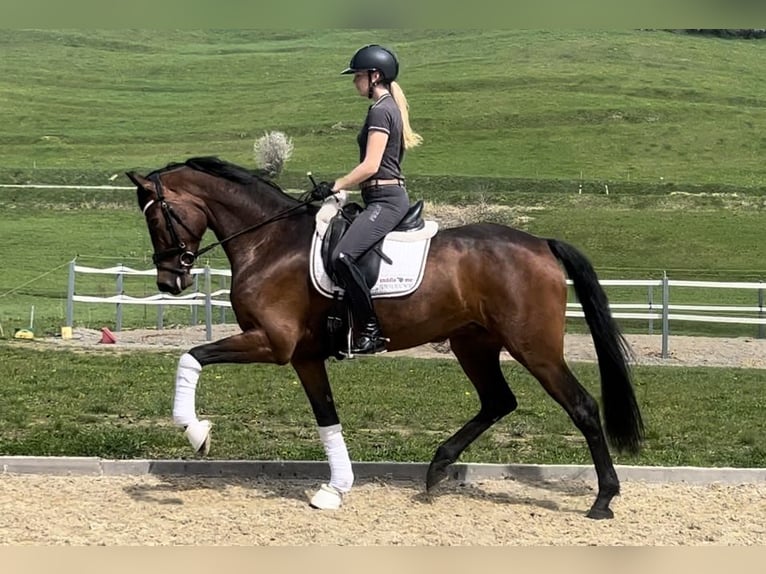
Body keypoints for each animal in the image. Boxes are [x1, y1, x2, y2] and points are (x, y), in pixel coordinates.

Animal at [129, 155, 644, 520]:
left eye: (157, 218)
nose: (168, 282)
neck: (270, 242)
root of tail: (540, 244)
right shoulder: (304, 356)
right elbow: (327, 418)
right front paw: (335, 489)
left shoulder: (272, 343)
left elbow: (191, 356)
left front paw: (196, 433)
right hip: (473, 343)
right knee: (498, 401)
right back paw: (437, 469)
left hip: (534, 347)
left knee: (582, 406)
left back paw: (603, 500)